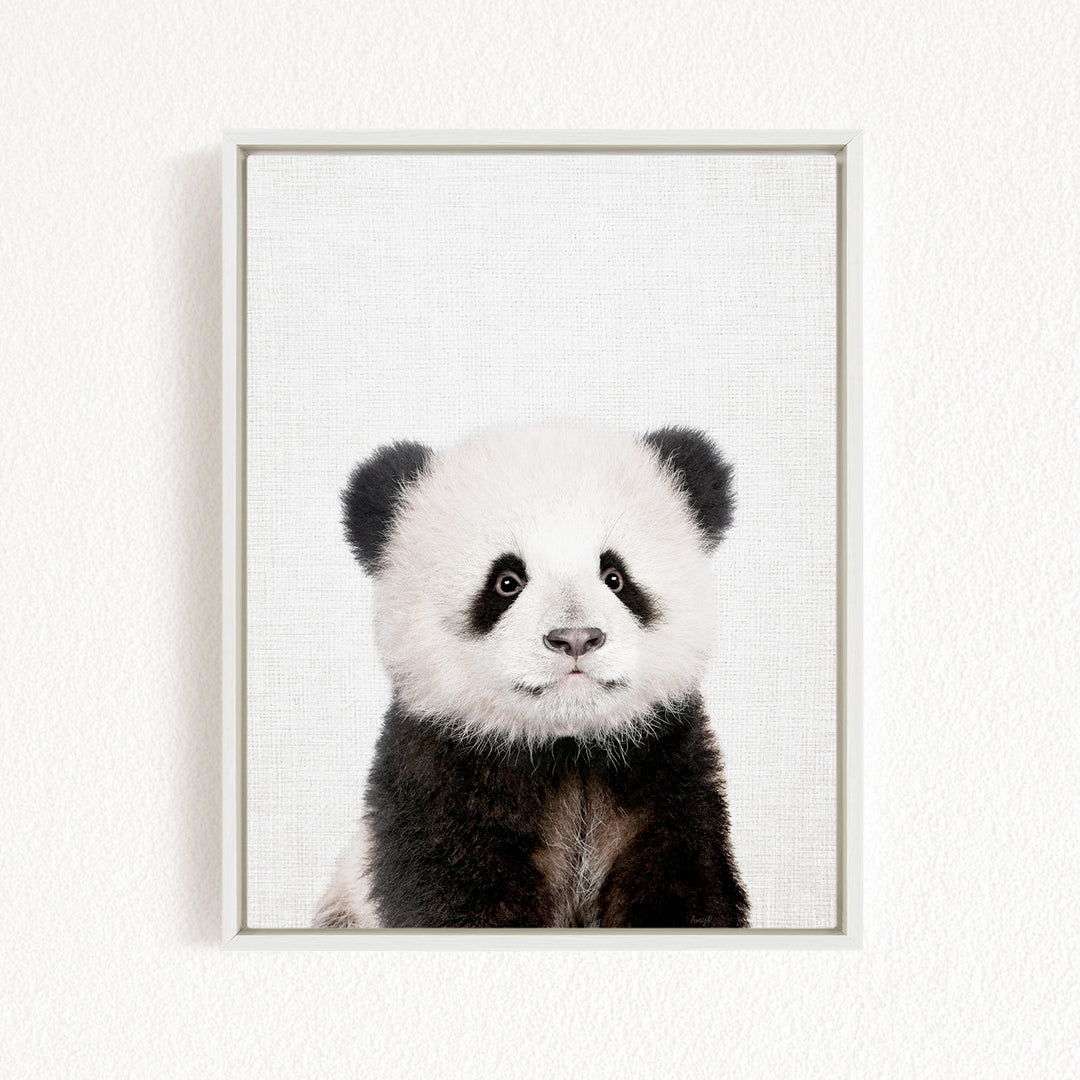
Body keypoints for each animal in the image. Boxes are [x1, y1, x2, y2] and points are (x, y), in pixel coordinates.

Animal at [314, 425, 749, 929]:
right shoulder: (440, 775)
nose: (575, 638)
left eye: (615, 577)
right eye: (507, 581)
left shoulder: (664, 769)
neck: (567, 748)